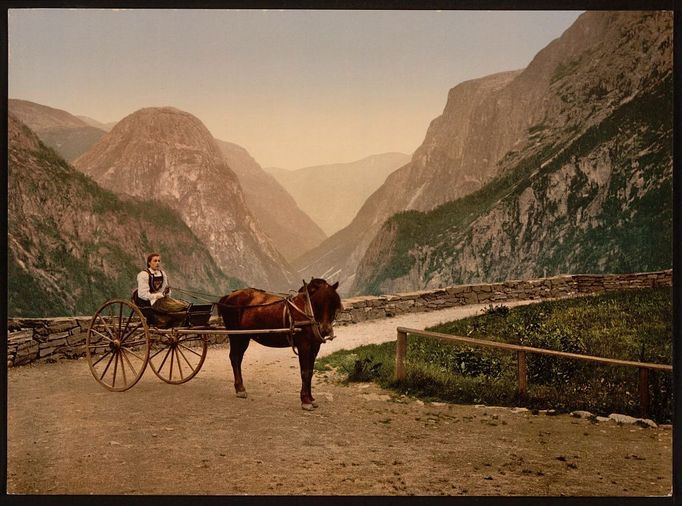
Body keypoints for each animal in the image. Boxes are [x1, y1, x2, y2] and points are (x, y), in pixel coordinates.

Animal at [218, 278, 342, 410]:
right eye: (318, 303)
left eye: (334, 304)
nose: (325, 329)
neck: (306, 310)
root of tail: (228, 297)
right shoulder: (304, 346)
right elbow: (304, 372)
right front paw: (305, 400)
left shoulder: (314, 347)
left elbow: (310, 372)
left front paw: (311, 398)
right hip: (236, 336)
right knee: (234, 358)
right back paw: (240, 389)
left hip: (244, 337)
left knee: (238, 359)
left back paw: (240, 387)